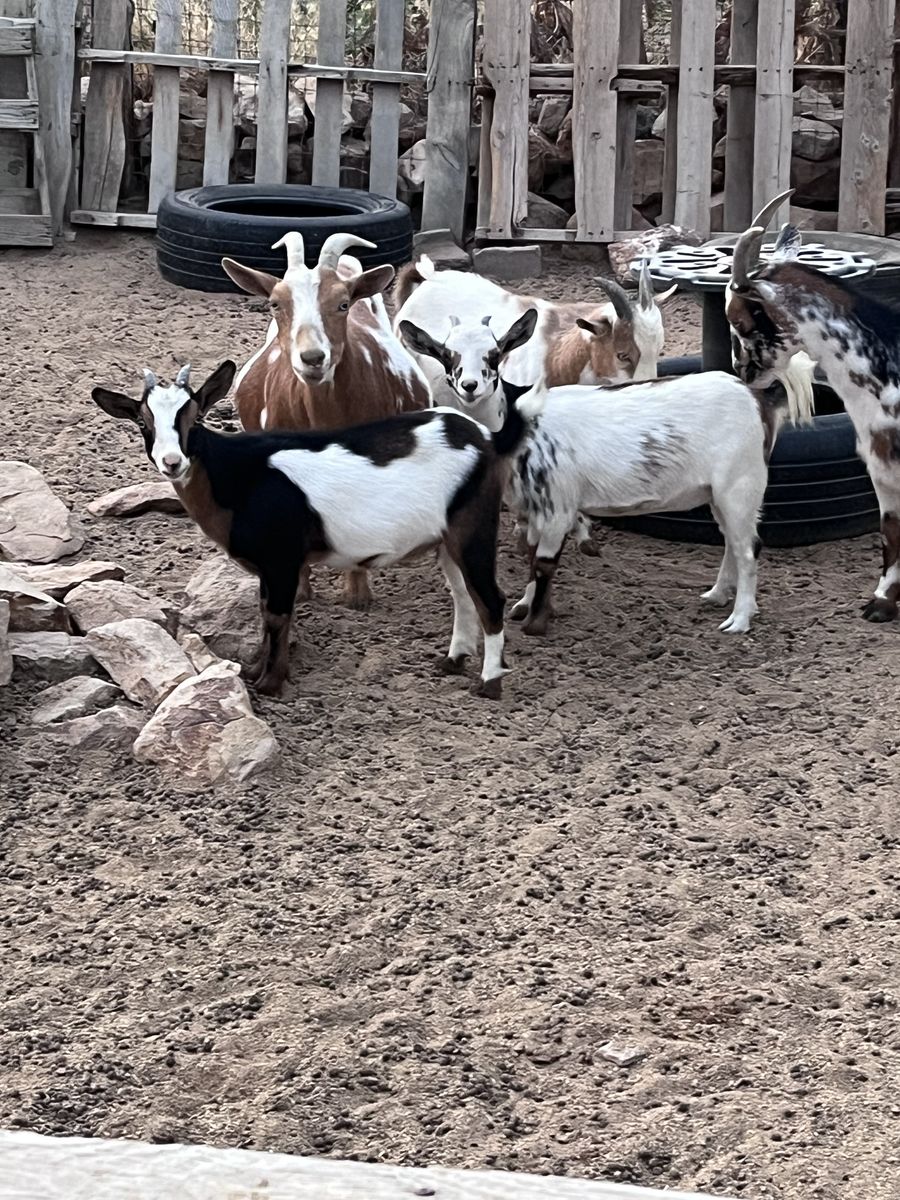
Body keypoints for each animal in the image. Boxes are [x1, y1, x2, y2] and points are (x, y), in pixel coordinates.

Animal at [91, 336, 540, 699]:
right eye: (143, 421)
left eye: (195, 416)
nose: (172, 461)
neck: (238, 475)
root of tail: (486, 437)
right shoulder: (269, 568)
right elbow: (264, 612)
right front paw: (255, 671)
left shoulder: (282, 558)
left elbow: (277, 616)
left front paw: (270, 683)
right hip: (448, 536)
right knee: (463, 593)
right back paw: (453, 660)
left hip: (474, 526)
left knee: (490, 599)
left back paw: (489, 683)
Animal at [505, 367, 815, 637]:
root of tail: (757, 396)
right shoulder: (532, 512)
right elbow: (531, 557)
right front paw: (522, 607)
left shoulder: (557, 508)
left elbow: (543, 564)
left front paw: (534, 625)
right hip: (718, 494)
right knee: (732, 542)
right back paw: (716, 595)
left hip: (740, 483)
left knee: (748, 550)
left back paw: (738, 620)